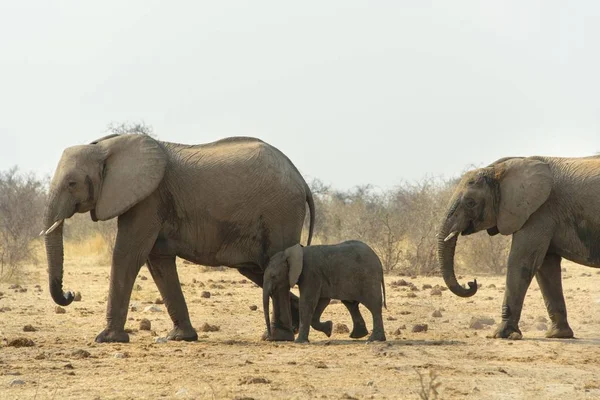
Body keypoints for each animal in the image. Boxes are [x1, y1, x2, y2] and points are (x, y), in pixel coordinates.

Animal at [39, 134, 316, 344]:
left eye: (72, 183)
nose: (71, 293)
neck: (106, 147)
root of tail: (301, 180)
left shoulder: (148, 199)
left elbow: (128, 254)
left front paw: (106, 339)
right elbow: (158, 262)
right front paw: (181, 337)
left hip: (280, 212)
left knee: (276, 265)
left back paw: (278, 337)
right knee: (259, 269)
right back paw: (300, 329)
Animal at [436, 155, 600, 340]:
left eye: (470, 203)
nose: (472, 283)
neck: (500, 169)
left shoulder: (539, 212)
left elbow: (521, 261)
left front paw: (502, 334)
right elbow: (546, 268)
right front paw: (558, 335)